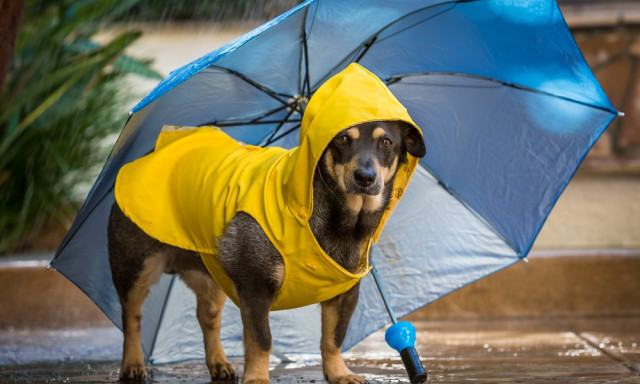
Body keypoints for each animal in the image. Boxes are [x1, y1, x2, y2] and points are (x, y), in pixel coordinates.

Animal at [108, 121, 428, 384]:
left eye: (386, 142)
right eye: (341, 139)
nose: (365, 177)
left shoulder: (345, 295)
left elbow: (332, 339)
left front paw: (339, 373)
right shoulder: (255, 289)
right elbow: (261, 340)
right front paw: (257, 378)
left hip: (210, 278)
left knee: (207, 318)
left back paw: (218, 363)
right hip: (134, 268)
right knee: (131, 316)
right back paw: (132, 364)